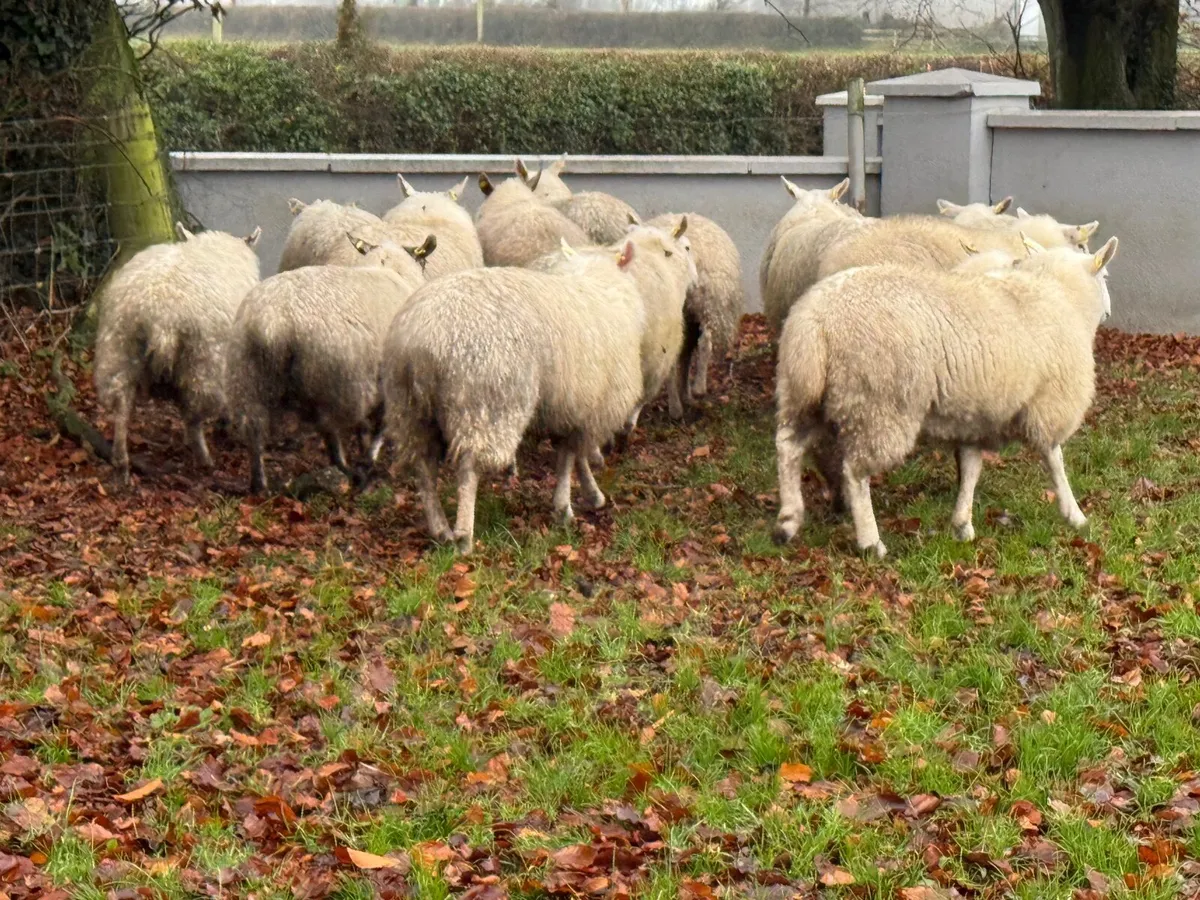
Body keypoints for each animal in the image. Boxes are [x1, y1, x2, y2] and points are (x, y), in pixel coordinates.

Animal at [93, 223, 262, 484]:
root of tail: (159, 314)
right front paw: (225, 425)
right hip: (204, 361)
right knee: (193, 416)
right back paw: (204, 457)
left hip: (118, 350)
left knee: (121, 409)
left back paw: (121, 464)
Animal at [227, 234, 436, 493]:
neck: (389, 270)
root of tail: (272, 321)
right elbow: (380, 425)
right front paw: (368, 459)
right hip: (329, 381)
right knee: (329, 431)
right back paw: (348, 469)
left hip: (248, 378)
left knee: (254, 431)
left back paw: (259, 484)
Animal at [648, 212, 744, 415]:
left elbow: (684, 356)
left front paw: (684, 395)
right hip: (711, 302)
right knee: (705, 342)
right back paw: (695, 391)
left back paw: (677, 405)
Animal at [773, 235, 1119, 558]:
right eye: (1105, 276)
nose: (1109, 312)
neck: (1060, 296)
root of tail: (815, 321)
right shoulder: (1048, 402)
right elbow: (1054, 460)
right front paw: (1074, 514)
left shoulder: (975, 416)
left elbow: (971, 469)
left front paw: (962, 524)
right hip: (878, 403)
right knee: (855, 472)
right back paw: (871, 542)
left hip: (804, 392)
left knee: (788, 446)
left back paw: (788, 521)